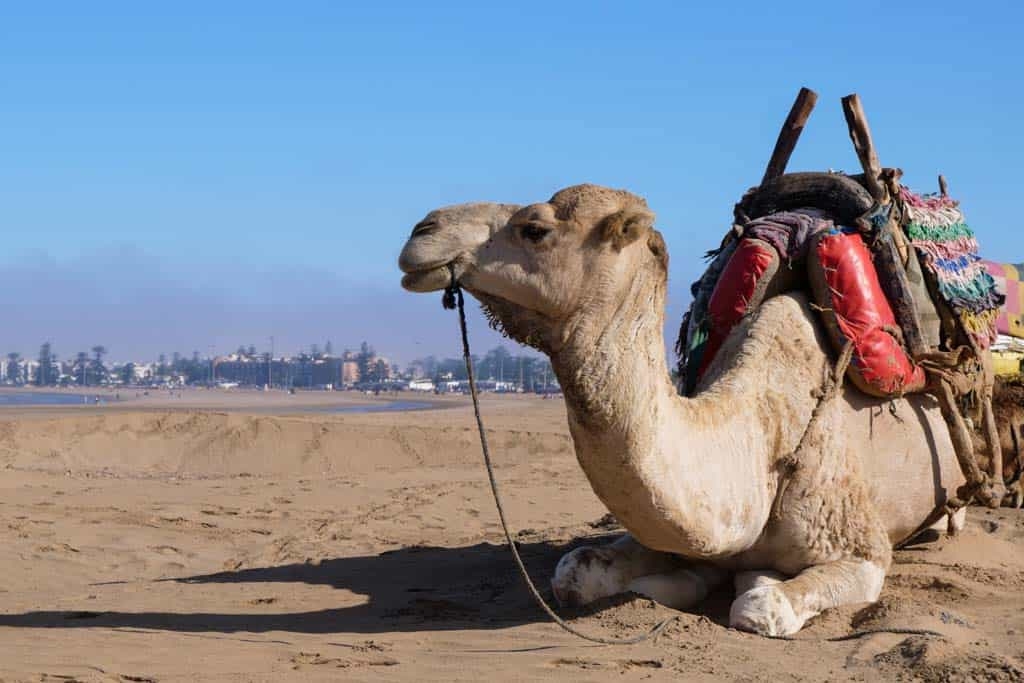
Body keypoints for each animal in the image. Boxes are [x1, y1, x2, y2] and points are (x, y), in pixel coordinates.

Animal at [395, 185, 962, 634]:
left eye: (534, 228)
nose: (423, 229)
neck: (761, 446)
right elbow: (575, 572)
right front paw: (671, 582)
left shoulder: (860, 549)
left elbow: (758, 605)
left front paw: (747, 582)